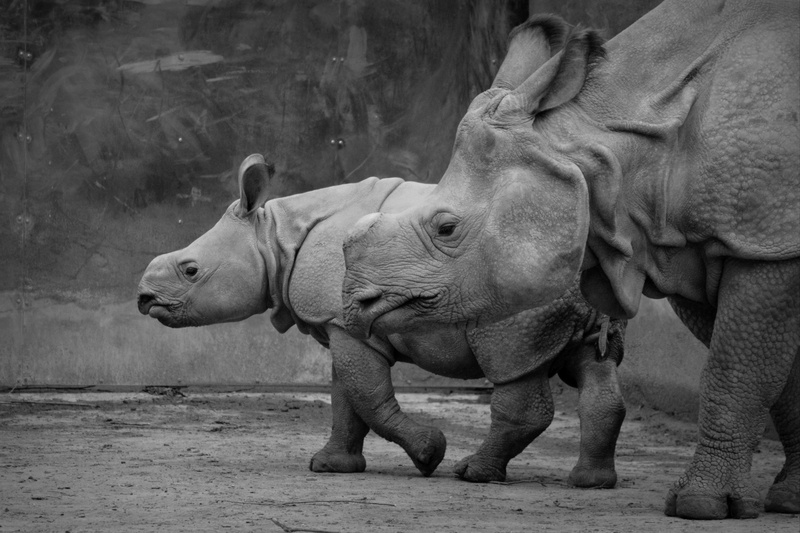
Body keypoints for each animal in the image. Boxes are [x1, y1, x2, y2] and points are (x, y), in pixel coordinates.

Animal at [137, 154, 627, 487]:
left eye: (190, 270)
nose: (144, 299)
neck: (275, 236)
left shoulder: (345, 318)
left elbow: (367, 396)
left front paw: (429, 454)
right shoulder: (340, 324)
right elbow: (345, 399)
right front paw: (331, 466)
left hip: (515, 277)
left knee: (510, 360)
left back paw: (472, 473)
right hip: (574, 278)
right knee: (593, 363)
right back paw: (590, 482)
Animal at [340, 1, 799, 520]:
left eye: (446, 229)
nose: (356, 304)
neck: (604, 139)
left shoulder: (766, 240)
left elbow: (736, 370)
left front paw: (700, 506)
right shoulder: (702, 245)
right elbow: (778, 374)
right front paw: (789, 498)